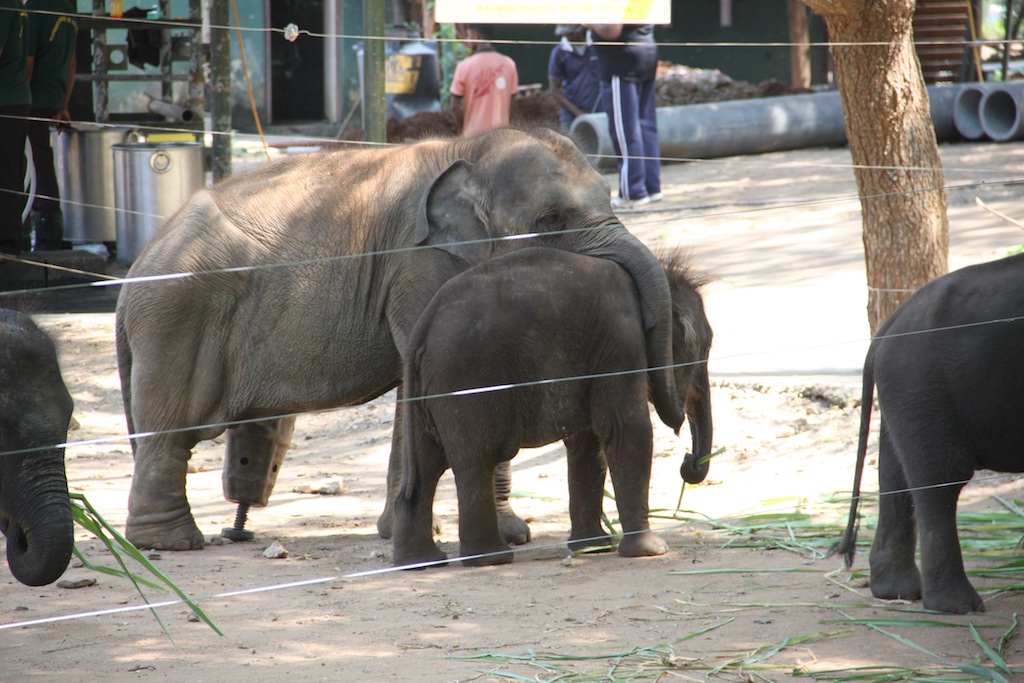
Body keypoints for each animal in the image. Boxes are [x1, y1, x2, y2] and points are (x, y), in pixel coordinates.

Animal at [116, 126, 684, 548]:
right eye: (551, 219)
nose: (681, 439)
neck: (468, 149)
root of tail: (133, 272)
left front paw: (481, 534)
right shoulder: (418, 265)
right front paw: (479, 535)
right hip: (176, 318)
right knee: (172, 428)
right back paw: (170, 542)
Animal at [391, 245, 712, 565]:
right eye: (704, 346)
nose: (688, 460)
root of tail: (423, 326)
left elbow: (587, 443)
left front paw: (592, 548)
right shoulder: (621, 344)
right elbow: (626, 430)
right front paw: (651, 551)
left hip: (423, 392)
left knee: (426, 465)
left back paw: (421, 561)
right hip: (466, 381)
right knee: (476, 460)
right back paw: (492, 558)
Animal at [831, 252, 1024, 614]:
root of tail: (887, 328)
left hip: (909, 392)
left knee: (895, 471)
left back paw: (896, 592)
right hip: (923, 385)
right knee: (942, 478)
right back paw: (957, 606)